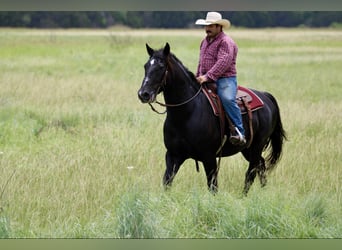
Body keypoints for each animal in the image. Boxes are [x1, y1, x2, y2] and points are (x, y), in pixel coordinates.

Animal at [137, 43, 286, 194]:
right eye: (146, 66)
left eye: (161, 66)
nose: (143, 94)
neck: (187, 114)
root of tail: (265, 96)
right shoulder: (173, 155)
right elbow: (167, 182)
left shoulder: (209, 157)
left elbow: (213, 186)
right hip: (247, 149)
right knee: (260, 165)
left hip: (257, 146)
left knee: (251, 172)